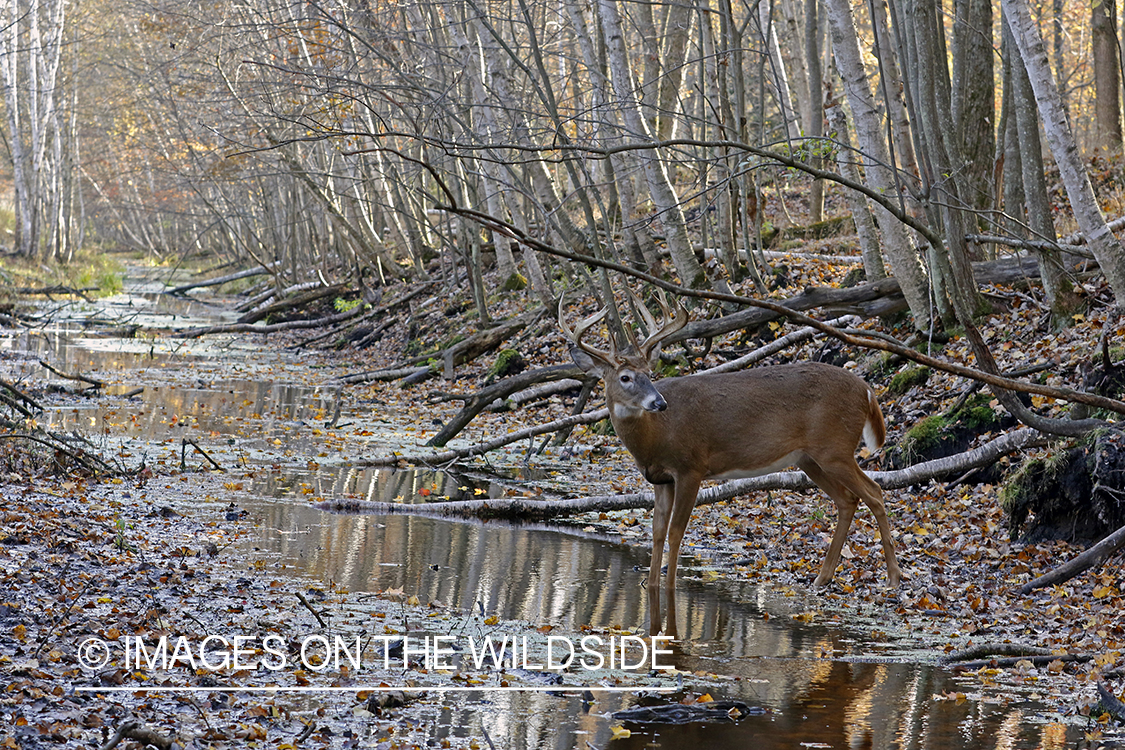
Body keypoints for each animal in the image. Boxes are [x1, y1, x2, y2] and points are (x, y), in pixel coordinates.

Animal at [562, 296, 904, 638]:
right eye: (626, 377)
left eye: (649, 372)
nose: (658, 403)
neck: (656, 436)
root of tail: (867, 390)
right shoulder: (660, 480)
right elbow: (657, 532)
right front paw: (652, 586)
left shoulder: (691, 467)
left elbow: (676, 532)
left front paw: (670, 588)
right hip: (810, 459)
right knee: (848, 499)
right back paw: (823, 578)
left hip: (834, 449)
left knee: (874, 492)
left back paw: (893, 579)